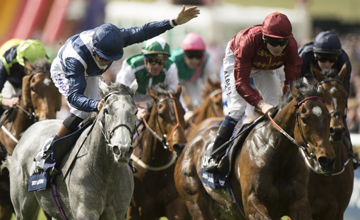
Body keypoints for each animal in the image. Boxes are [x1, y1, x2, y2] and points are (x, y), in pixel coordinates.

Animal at [4, 81, 139, 220]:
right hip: (24, 207)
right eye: (106, 111)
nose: (122, 149)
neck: (106, 172)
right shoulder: (85, 213)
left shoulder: (117, 213)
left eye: (135, 112)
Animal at [173, 80, 336, 218]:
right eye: (304, 119)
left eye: (328, 116)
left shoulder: (299, 202)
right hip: (195, 203)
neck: (277, 153)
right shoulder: (252, 203)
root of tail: (188, 145)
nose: (327, 160)